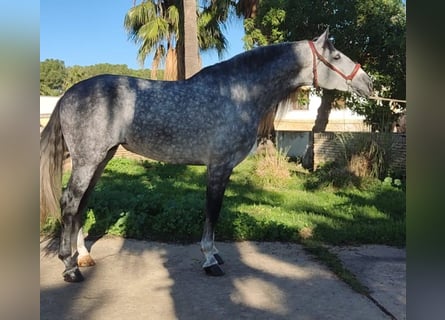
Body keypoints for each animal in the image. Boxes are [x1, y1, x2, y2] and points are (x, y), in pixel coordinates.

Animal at [40, 28, 372, 282]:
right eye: (336, 56)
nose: (368, 83)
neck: (239, 93)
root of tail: (68, 94)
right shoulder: (219, 166)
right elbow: (213, 211)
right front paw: (210, 260)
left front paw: (214, 256)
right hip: (88, 160)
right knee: (70, 202)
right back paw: (69, 267)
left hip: (101, 158)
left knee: (81, 203)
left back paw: (83, 257)